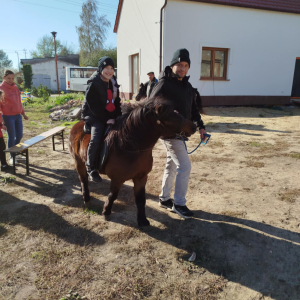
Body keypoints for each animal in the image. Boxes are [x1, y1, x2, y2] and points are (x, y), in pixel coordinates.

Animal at [69, 97, 198, 226]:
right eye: (170, 118)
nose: (194, 126)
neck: (129, 146)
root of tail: (77, 125)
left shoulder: (141, 177)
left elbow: (141, 199)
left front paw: (142, 220)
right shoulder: (117, 179)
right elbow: (112, 196)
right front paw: (106, 212)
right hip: (78, 162)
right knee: (83, 180)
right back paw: (87, 199)